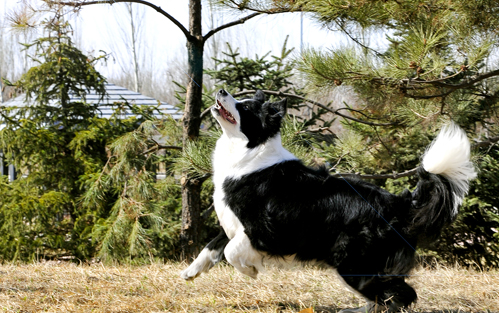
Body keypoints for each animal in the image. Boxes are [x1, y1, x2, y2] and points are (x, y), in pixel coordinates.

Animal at [181, 89, 476, 310]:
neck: (250, 152)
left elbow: (231, 251)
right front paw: (190, 271)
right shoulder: (233, 223)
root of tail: (399, 205)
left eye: (245, 108)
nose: (221, 91)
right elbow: (214, 244)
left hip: (353, 263)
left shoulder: (263, 230)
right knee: (390, 294)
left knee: (399, 295)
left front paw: (250, 271)